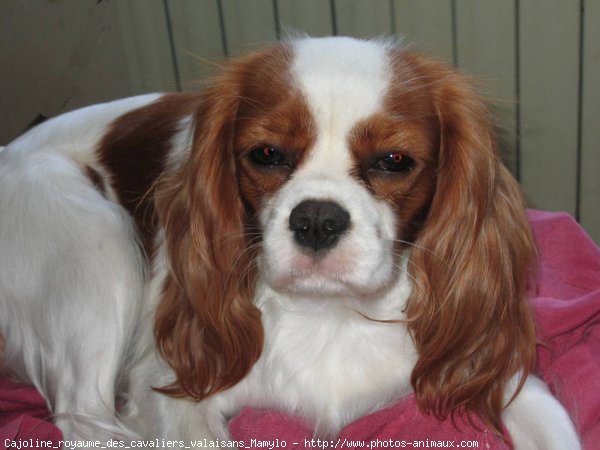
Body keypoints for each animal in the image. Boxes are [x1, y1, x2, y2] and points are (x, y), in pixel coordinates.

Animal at [0, 36, 580, 450]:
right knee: (84, 419)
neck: (332, 314)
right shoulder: (166, 381)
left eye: (394, 161)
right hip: (96, 247)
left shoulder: (495, 371)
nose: (317, 220)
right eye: (267, 154)